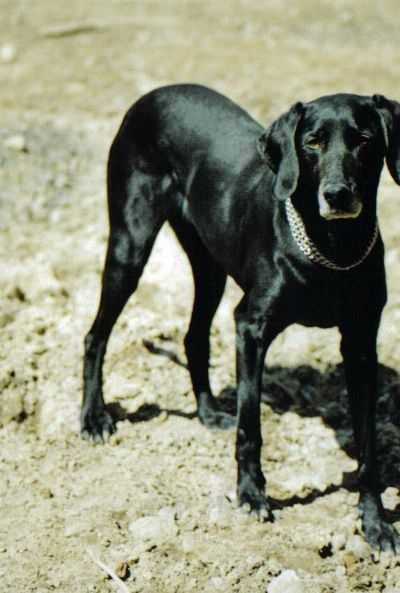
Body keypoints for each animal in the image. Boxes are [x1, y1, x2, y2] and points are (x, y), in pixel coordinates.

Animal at [81, 84, 400, 552]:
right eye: (313, 142)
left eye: (363, 140)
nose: (337, 195)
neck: (332, 248)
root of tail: (153, 94)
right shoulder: (251, 328)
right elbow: (251, 426)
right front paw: (251, 495)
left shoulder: (361, 344)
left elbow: (368, 443)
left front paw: (376, 523)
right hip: (130, 245)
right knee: (95, 336)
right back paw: (93, 418)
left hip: (209, 265)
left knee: (194, 337)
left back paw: (209, 412)